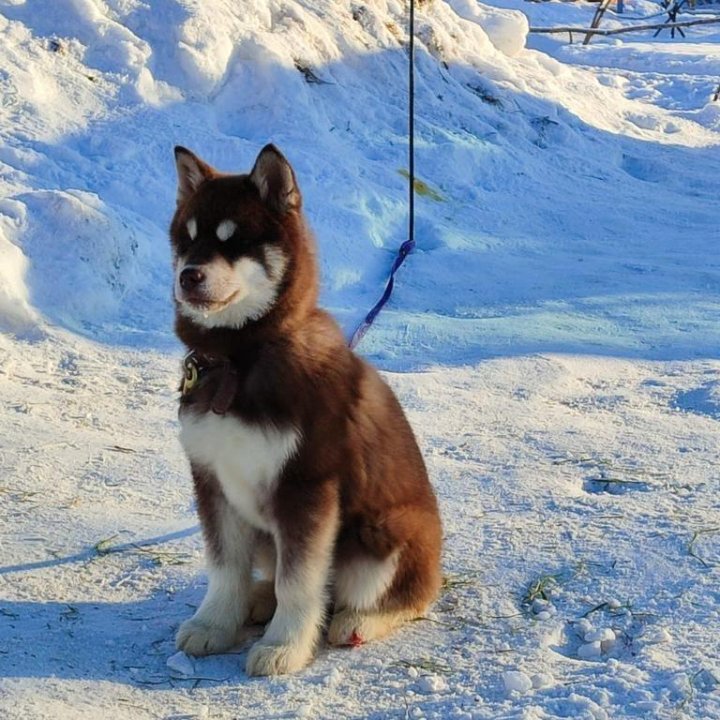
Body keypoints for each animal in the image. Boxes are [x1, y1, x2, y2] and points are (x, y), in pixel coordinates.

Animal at [169, 145, 442, 676]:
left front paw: (285, 646)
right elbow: (224, 566)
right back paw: (258, 600)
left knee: (407, 597)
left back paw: (359, 621)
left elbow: (298, 582)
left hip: (385, 531)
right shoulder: (212, 479)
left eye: (236, 240)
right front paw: (216, 623)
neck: (240, 359)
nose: (187, 276)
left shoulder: (306, 488)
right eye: (186, 240)